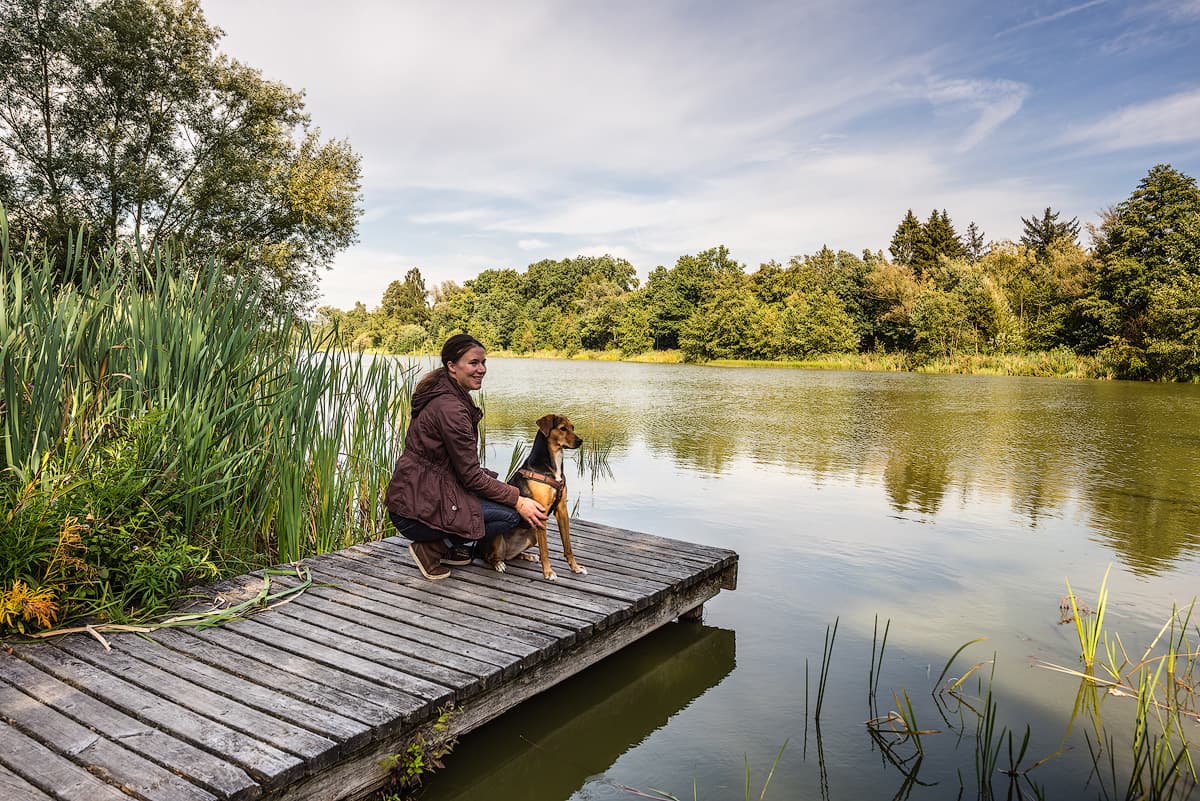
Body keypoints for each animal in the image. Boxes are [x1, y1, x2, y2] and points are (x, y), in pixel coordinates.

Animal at [480, 417, 588, 577]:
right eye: (562, 428)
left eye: (572, 427)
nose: (580, 441)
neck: (552, 467)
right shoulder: (541, 513)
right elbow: (545, 550)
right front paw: (548, 572)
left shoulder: (562, 510)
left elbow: (568, 546)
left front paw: (575, 567)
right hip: (497, 538)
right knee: (488, 557)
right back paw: (498, 564)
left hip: (532, 536)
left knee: (511, 556)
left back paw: (527, 555)